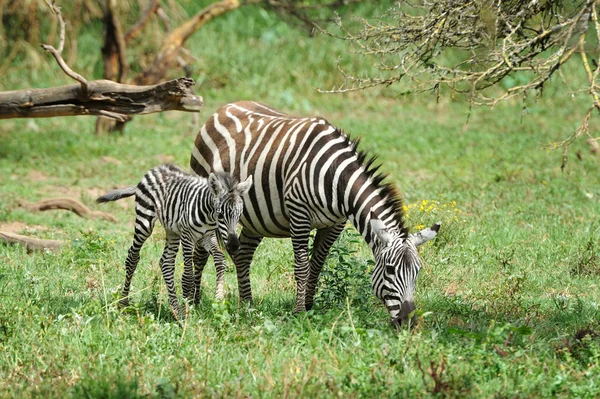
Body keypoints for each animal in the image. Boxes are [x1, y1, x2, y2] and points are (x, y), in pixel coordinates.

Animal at [97, 164, 252, 324]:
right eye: (220, 214)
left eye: (239, 215)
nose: (234, 246)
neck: (208, 217)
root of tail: (157, 168)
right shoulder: (187, 236)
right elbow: (188, 277)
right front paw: (187, 311)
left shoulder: (206, 237)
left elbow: (220, 260)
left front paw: (219, 299)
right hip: (144, 221)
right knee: (132, 257)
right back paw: (123, 303)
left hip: (172, 231)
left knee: (166, 263)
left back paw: (175, 310)